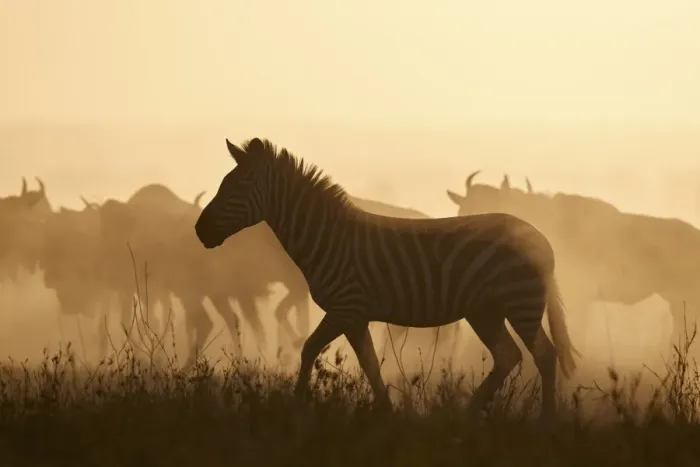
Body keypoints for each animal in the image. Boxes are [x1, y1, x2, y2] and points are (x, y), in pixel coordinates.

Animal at [194, 137, 579, 418]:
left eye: (237, 186)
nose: (199, 230)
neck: (327, 237)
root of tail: (539, 237)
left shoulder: (345, 307)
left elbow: (311, 349)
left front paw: (297, 406)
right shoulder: (354, 316)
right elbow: (365, 363)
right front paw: (385, 413)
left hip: (519, 301)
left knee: (544, 355)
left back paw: (546, 421)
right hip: (485, 310)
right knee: (508, 356)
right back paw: (466, 415)